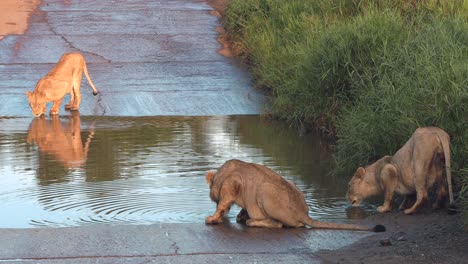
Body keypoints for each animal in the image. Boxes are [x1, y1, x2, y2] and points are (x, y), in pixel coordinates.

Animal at [205, 159, 384, 231]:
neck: (221, 173)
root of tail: (302, 212)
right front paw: (240, 214)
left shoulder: (233, 182)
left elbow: (223, 203)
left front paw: (213, 218)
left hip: (264, 190)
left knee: (279, 224)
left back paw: (252, 221)